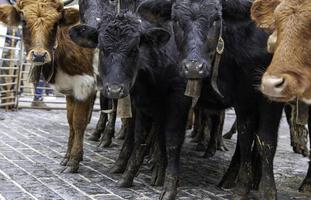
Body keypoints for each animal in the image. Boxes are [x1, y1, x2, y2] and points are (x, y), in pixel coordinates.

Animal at [0, 0, 95, 172]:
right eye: (24, 21)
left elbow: (79, 122)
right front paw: (67, 157)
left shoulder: (86, 85)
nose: (39, 55)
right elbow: (71, 121)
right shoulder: (70, 91)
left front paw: (74, 161)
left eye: (56, 23)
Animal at [70, 10, 191, 200]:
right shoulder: (140, 101)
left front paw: (169, 188)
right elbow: (138, 136)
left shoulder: (180, 97)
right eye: (102, 48)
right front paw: (128, 175)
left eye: (135, 49)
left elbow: (173, 139)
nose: (114, 89)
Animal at [139, 0, 286, 198]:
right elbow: (173, 137)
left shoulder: (265, 97)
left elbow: (265, 142)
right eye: (175, 19)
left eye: (216, 19)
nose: (194, 67)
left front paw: (267, 191)